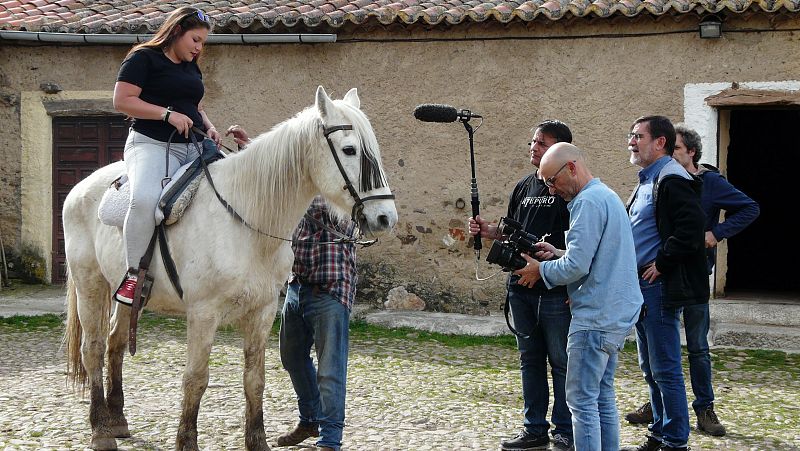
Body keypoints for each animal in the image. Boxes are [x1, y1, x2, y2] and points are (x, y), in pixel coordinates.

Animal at [61, 86, 396, 450]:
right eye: (349, 149)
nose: (385, 217)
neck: (245, 218)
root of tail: (80, 188)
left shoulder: (262, 311)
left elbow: (255, 379)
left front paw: (257, 441)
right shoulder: (203, 313)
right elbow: (195, 379)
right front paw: (187, 442)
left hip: (124, 297)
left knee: (115, 343)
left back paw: (118, 420)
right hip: (90, 285)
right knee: (93, 349)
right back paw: (100, 430)